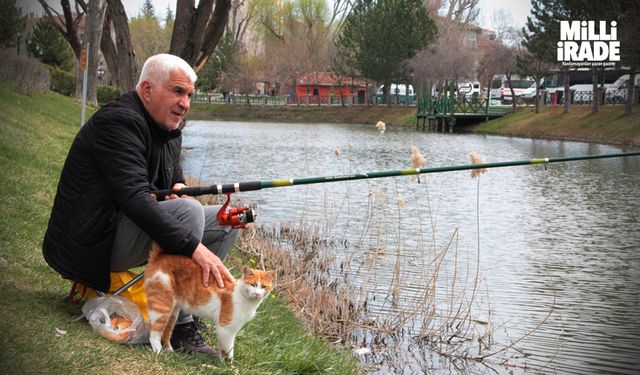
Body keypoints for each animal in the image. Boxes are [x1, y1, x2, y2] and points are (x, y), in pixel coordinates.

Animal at [144, 245, 274, 360]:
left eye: (263, 287)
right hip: (162, 306)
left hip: (173, 312)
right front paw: (228, 366)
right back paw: (158, 351)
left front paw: (221, 361)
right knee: (155, 332)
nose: (257, 294)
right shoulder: (226, 328)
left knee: (167, 332)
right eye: (253, 285)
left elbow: (222, 348)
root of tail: (160, 256)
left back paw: (169, 351)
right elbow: (228, 349)